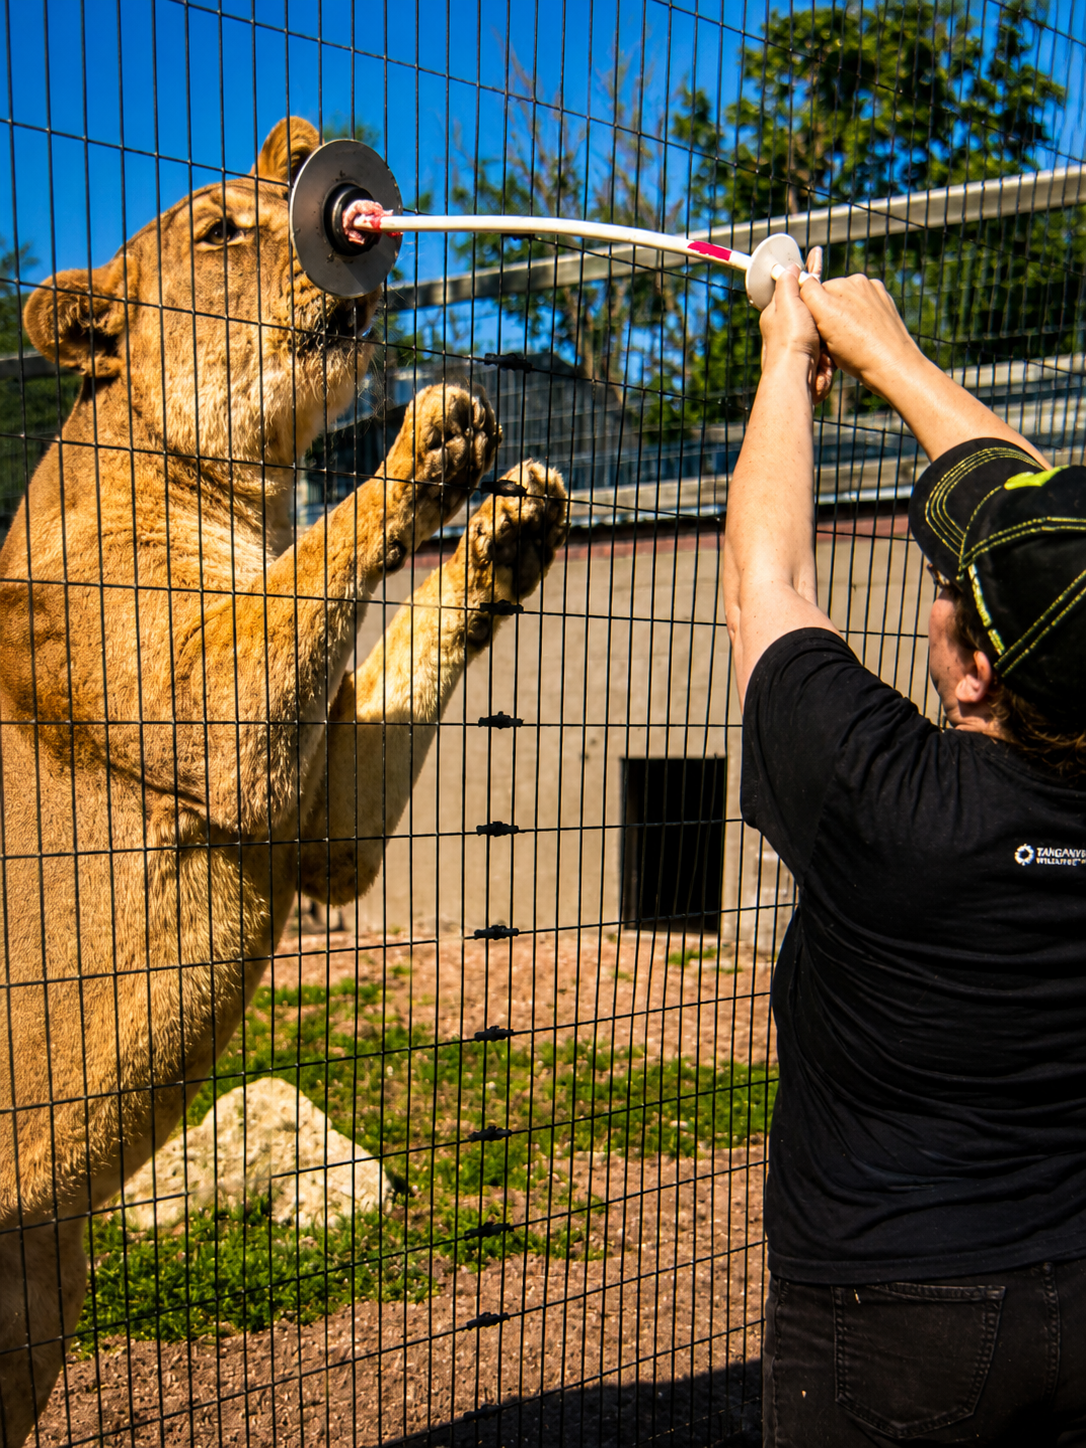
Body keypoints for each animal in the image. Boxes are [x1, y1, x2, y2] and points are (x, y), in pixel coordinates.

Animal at [0, 117, 567, 1444]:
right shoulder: (216, 716)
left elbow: (391, 638)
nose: (363, 245)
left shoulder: (319, 823)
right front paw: (429, 440)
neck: (244, 486)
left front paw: (510, 527)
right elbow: (318, 557)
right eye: (219, 234)